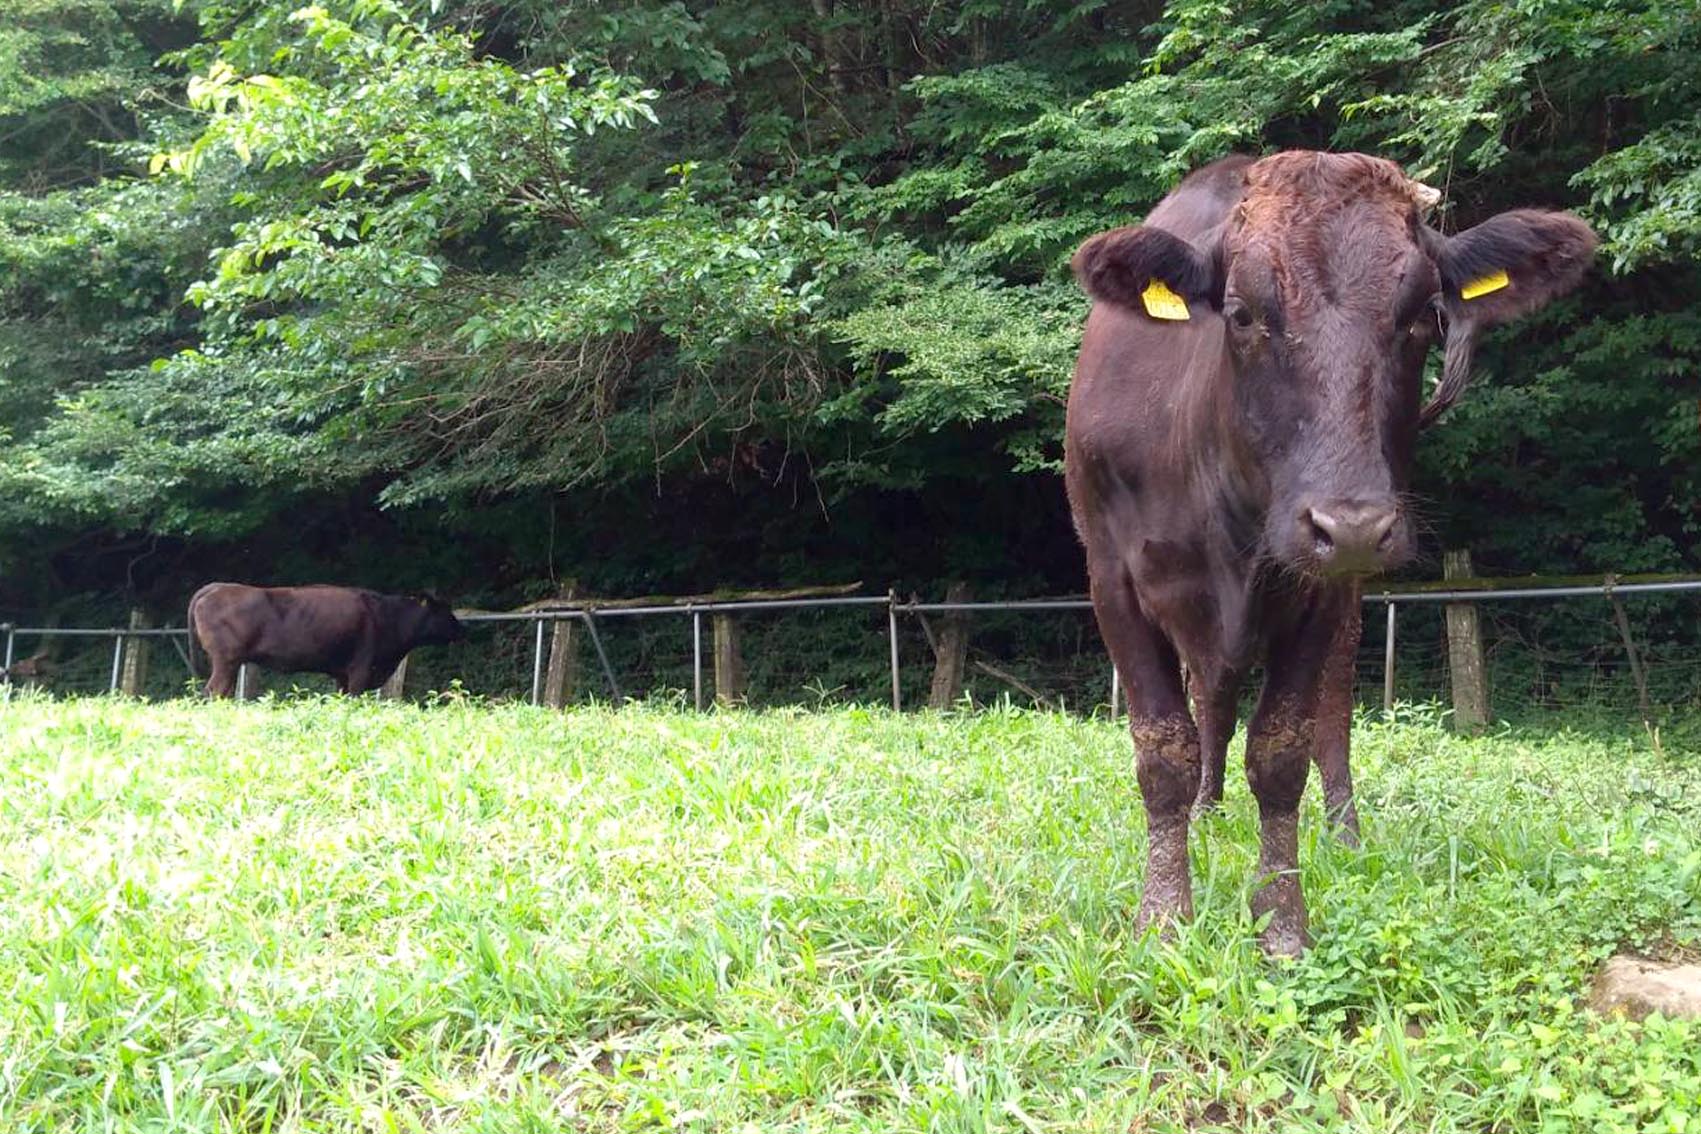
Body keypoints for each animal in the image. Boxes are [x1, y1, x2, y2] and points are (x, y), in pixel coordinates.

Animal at [189, 584, 466, 700]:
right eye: (443, 609)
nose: (461, 629)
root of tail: (216, 587)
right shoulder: (360, 669)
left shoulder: (342, 674)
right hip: (226, 660)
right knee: (212, 691)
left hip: (230, 663)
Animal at [1061, 150, 1592, 958]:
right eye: (1243, 314)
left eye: (1421, 316)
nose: (1351, 525)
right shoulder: (1112, 576)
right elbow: (1164, 750)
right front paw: (1164, 917)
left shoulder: (1317, 589)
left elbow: (1283, 750)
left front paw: (1281, 921)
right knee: (1211, 698)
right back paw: (1206, 813)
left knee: (1328, 713)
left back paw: (1344, 834)